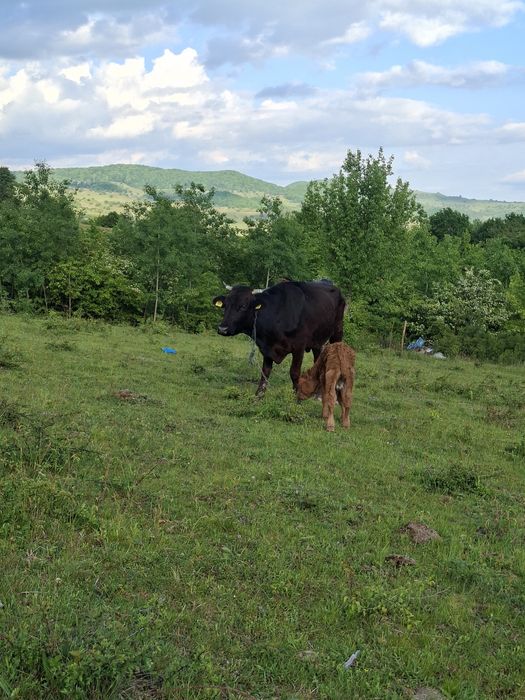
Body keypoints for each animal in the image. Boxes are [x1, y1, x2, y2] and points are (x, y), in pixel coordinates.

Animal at [212, 279, 346, 396]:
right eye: (225, 305)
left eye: (243, 306)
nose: (222, 329)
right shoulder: (267, 347)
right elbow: (265, 372)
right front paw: (258, 395)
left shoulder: (299, 346)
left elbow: (294, 372)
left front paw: (296, 397)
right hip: (317, 340)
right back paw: (318, 392)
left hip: (337, 331)